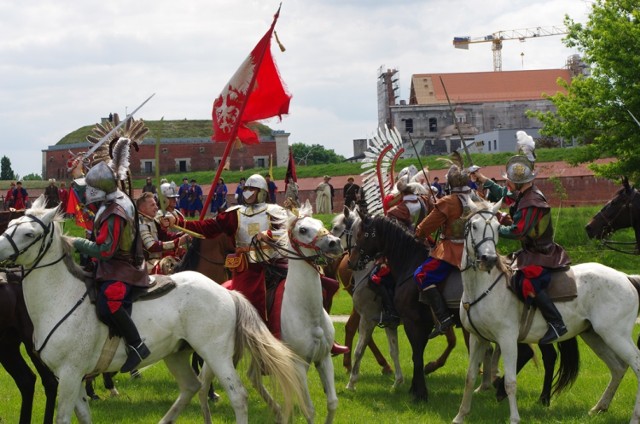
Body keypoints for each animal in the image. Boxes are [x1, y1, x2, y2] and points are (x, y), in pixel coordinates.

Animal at [0, 197, 308, 422]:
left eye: (28, 232)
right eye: (11, 223)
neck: (61, 296)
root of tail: (228, 293)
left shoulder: (70, 374)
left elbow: (64, 417)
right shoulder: (68, 377)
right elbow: (84, 415)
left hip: (215, 353)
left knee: (237, 396)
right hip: (177, 353)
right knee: (191, 387)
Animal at [452, 200, 640, 424]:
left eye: (497, 228)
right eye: (474, 226)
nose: (488, 258)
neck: (483, 287)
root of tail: (625, 277)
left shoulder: (507, 339)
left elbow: (510, 381)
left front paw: (514, 418)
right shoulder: (477, 338)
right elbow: (470, 377)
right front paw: (460, 415)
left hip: (615, 335)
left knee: (636, 365)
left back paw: (634, 417)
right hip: (594, 336)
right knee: (618, 368)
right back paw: (599, 407)